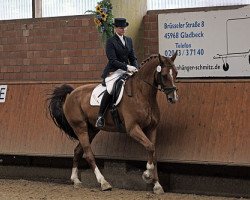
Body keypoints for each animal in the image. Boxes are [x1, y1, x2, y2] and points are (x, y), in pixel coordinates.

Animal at [47, 52, 178, 194]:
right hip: (80, 127)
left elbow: (153, 152)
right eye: (164, 75)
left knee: (77, 151)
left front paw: (157, 185)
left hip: (92, 129)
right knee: (88, 154)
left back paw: (75, 180)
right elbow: (150, 147)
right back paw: (103, 182)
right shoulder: (133, 128)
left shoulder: (152, 128)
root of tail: (71, 93)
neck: (142, 94)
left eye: (176, 73)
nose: (173, 98)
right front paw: (147, 175)